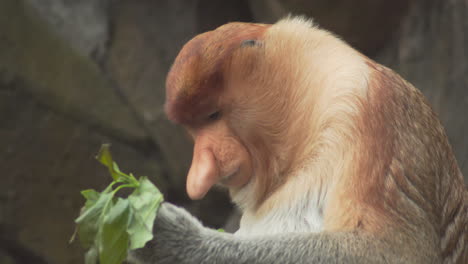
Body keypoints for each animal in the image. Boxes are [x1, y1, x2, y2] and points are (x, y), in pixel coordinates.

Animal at [129, 17, 468, 264]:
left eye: (212, 115)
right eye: (193, 129)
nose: (198, 176)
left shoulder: (377, 113)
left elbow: (387, 251)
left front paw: (167, 236)